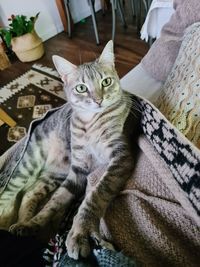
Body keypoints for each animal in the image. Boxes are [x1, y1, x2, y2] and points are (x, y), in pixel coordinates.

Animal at [0, 40, 134, 260]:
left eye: (106, 82)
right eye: (81, 88)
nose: (98, 100)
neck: (90, 124)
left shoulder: (120, 157)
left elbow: (94, 197)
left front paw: (79, 233)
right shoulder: (77, 170)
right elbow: (54, 202)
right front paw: (35, 223)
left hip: (53, 174)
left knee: (29, 193)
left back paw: (22, 222)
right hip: (28, 164)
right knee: (9, 195)